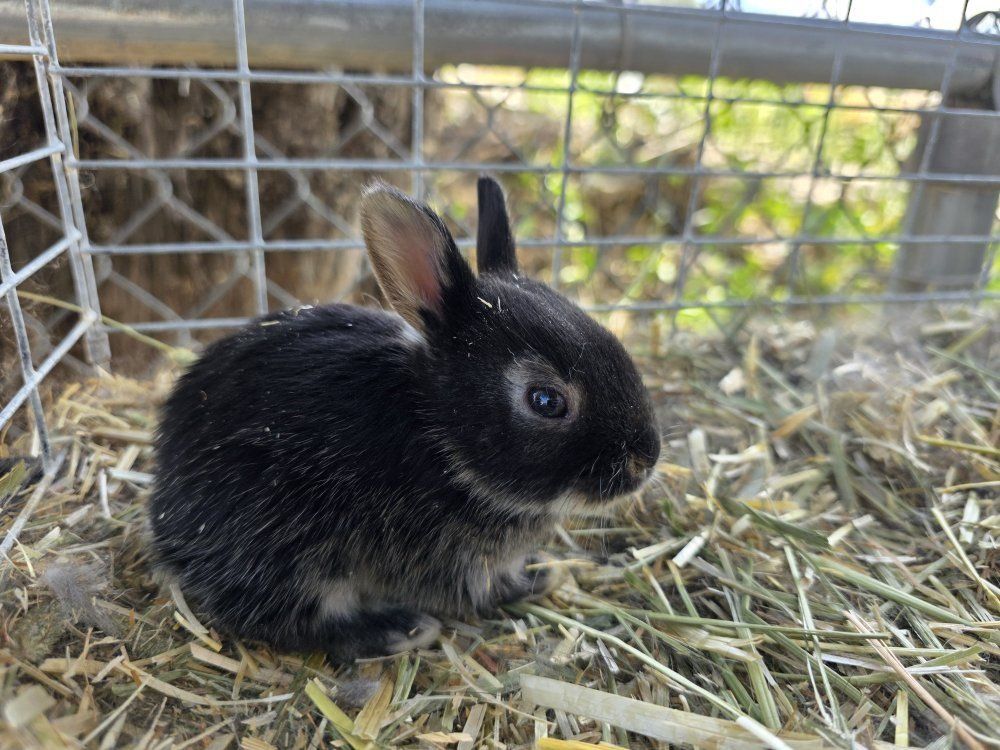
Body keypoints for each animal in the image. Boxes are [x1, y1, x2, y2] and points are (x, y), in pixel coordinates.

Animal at [149, 177, 660, 661]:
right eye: (546, 400)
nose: (645, 461)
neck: (438, 433)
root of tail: (166, 516)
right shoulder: (454, 561)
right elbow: (484, 592)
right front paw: (545, 577)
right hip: (285, 545)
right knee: (288, 618)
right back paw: (399, 630)